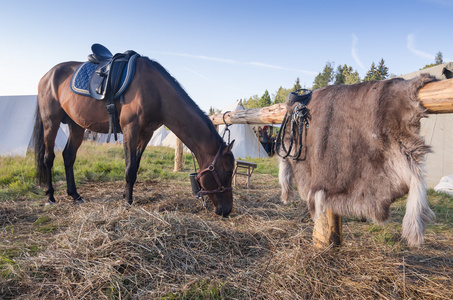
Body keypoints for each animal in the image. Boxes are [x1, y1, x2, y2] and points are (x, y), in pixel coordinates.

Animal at [33, 56, 235, 216]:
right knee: (48, 158)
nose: (227, 211)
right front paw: (127, 202)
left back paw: (75, 195)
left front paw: (126, 195)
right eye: (226, 172)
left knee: (68, 156)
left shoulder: (146, 133)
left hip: (76, 126)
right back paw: (50, 196)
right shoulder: (131, 129)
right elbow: (129, 169)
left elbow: (135, 167)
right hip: (51, 122)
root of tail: (47, 75)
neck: (155, 91)